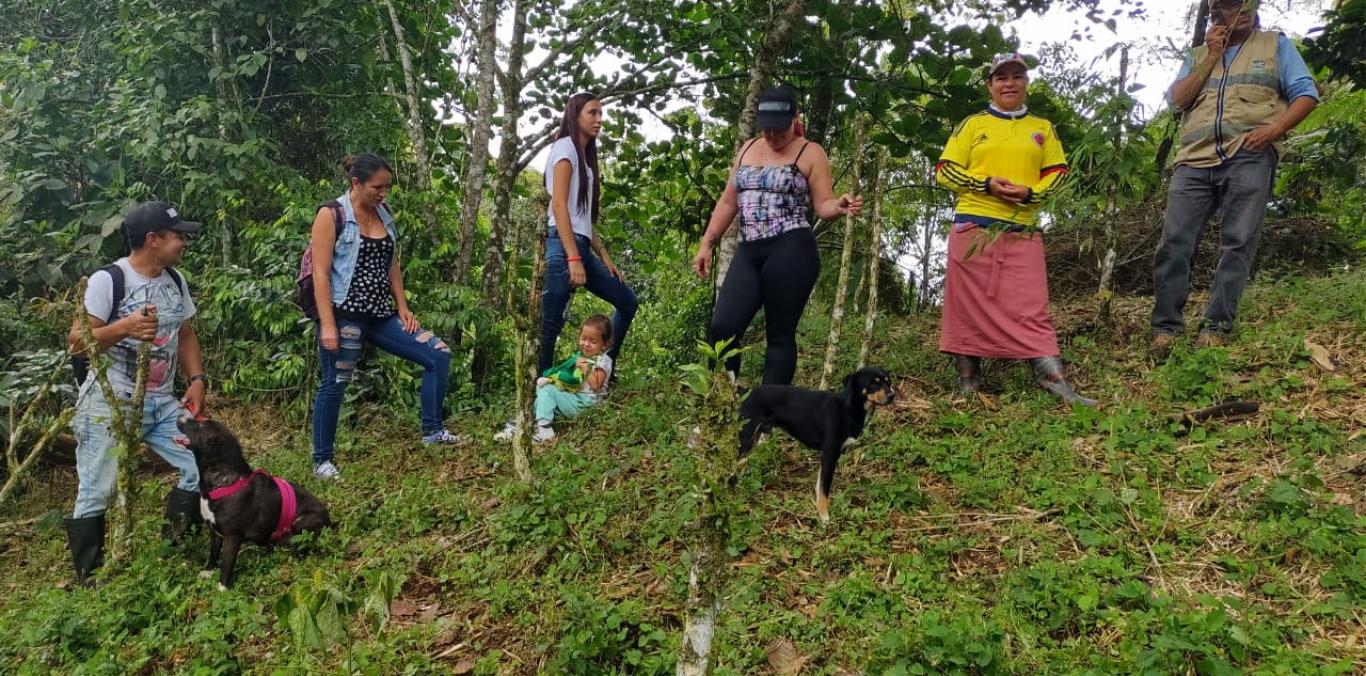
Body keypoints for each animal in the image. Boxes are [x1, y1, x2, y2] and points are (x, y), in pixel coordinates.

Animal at [174, 415, 329, 589]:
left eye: (199, 425)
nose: (180, 416)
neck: (223, 482)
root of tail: (329, 519)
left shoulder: (232, 537)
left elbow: (226, 564)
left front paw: (222, 588)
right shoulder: (215, 531)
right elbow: (213, 552)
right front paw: (209, 571)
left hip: (301, 522)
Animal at [737, 371, 896, 524]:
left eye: (888, 381)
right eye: (873, 383)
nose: (892, 396)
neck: (848, 408)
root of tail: (746, 391)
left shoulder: (826, 457)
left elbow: (819, 486)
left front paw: (819, 510)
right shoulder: (830, 455)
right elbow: (825, 488)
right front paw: (824, 517)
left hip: (753, 440)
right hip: (746, 438)